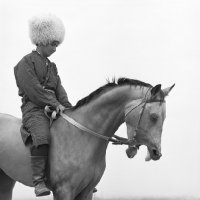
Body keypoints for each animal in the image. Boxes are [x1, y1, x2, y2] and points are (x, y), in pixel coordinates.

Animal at [0, 77, 173, 199]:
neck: (81, 136)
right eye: (153, 116)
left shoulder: (87, 191)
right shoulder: (64, 191)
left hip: (7, 181)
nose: (156, 152)